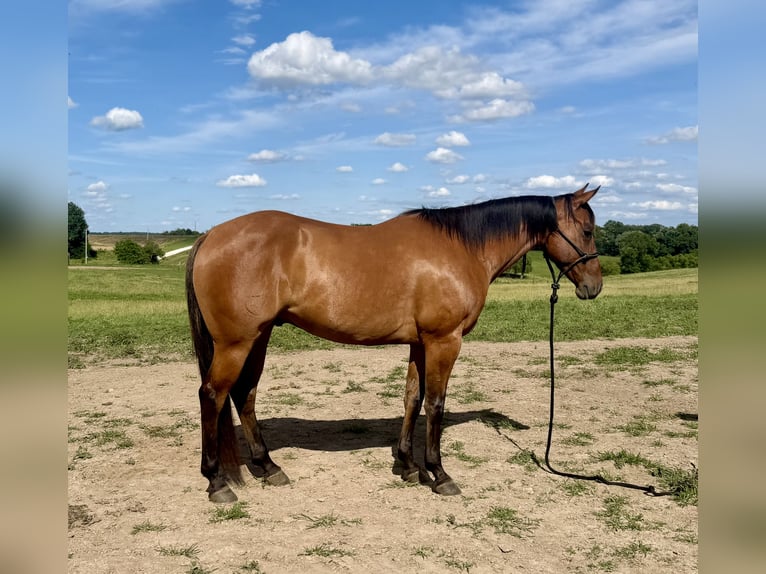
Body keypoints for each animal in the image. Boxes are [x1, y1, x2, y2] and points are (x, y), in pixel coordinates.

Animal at [186, 184, 602, 502]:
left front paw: (408, 465)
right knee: (212, 394)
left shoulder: (420, 343)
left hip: (259, 337)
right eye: (587, 231)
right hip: (236, 342)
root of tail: (211, 234)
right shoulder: (444, 341)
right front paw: (439, 473)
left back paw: (268, 467)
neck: (461, 248)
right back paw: (217, 481)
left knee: (244, 394)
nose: (593, 286)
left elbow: (412, 399)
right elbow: (435, 404)